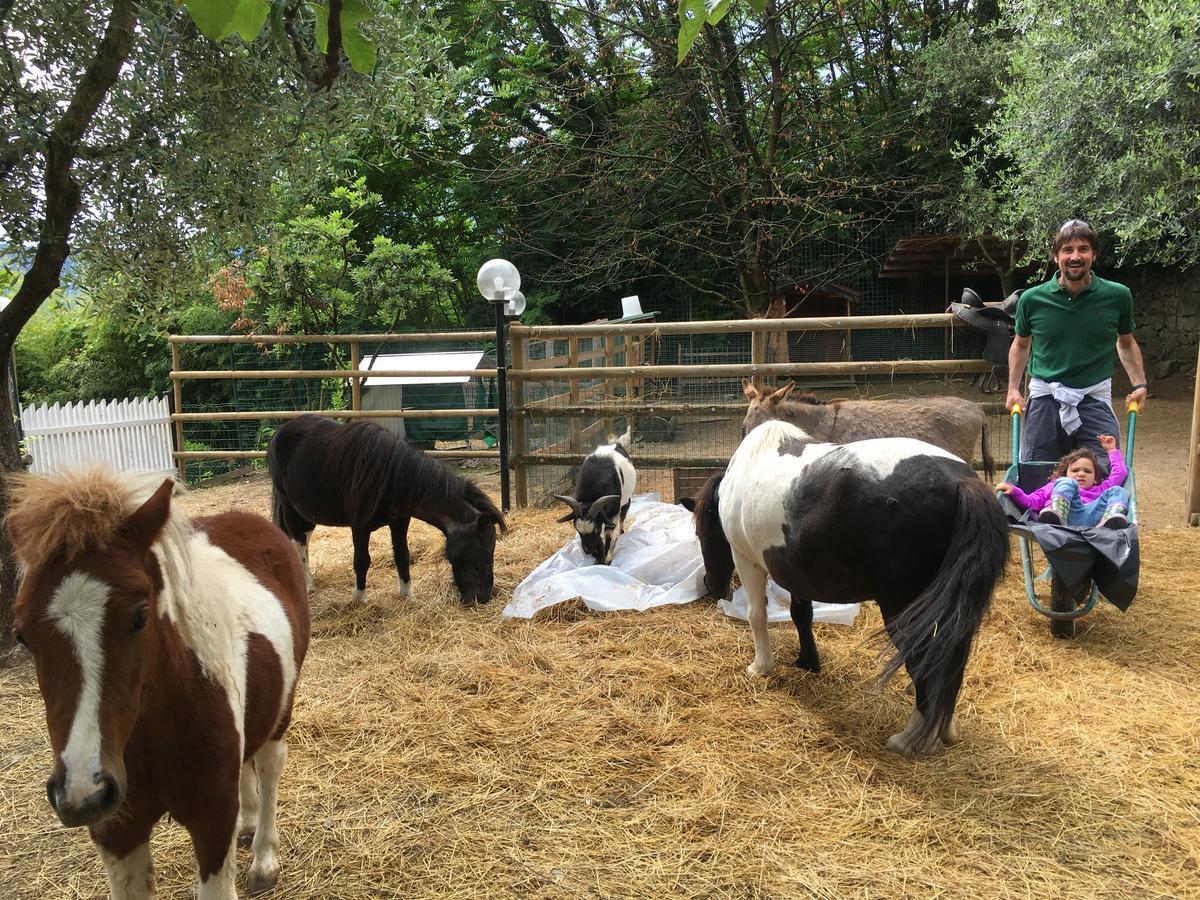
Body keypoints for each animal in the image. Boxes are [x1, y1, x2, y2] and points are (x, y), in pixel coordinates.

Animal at [9, 468, 309, 897]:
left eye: (139, 615)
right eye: (22, 635)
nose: (85, 792)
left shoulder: (212, 818)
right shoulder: (118, 832)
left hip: (282, 708)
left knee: (269, 764)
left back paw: (264, 858)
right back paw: (250, 825)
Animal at [267, 415, 506, 607]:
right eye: (480, 551)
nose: (482, 597)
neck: (392, 477)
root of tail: (280, 432)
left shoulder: (399, 521)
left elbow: (402, 555)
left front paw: (407, 594)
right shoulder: (360, 526)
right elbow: (361, 560)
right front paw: (360, 598)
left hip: (307, 513)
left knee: (304, 540)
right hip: (289, 506)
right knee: (298, 542)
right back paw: (307, 585)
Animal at [691, 422, 1008, 753]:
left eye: (701, 533)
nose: (712, 586)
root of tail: (961, 482)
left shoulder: (747, 560)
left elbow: (757, 615)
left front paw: (761, 667)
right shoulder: (797, 572)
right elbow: (801, 614)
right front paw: (808, 662)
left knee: (926, 660)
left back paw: (909, 740)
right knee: (950, 660)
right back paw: (944, 729)